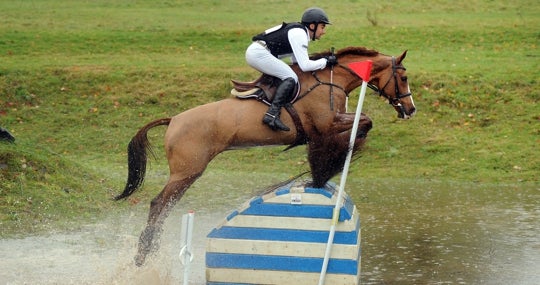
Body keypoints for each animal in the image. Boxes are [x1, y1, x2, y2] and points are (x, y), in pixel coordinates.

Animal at [116, 45, 416, 266]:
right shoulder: (326, 123)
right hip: (186, 172)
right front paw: (333, 158)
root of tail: (174, 120)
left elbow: (363, 122)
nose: (410, 109)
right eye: (403, 78)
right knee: (159, 204)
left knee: (165, 205)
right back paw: (144, 251)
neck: (331, 80)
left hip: (186, 174)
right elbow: (363, 122)